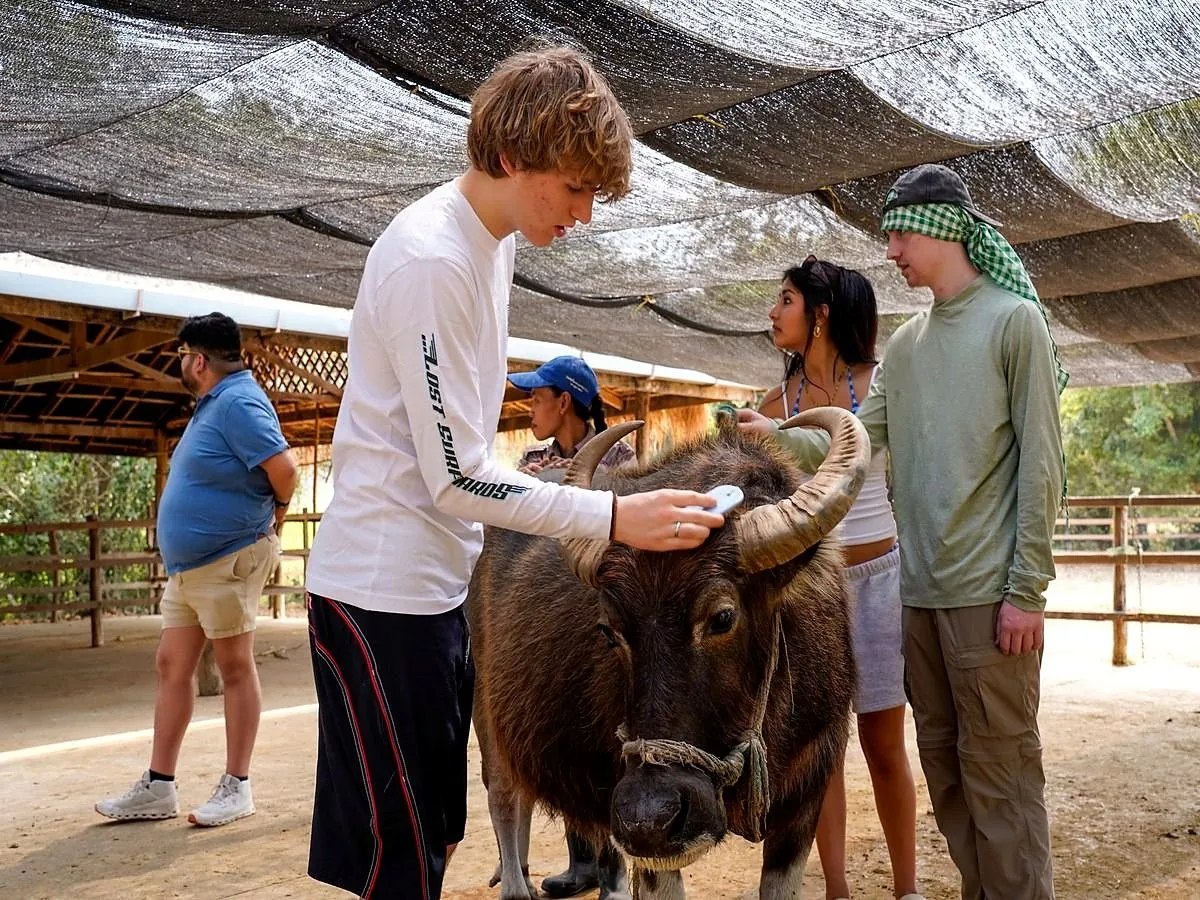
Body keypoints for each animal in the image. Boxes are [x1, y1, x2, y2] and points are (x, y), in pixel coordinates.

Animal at [468, 408, 869, 899]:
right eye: (609, 630)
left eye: (722, 617)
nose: (649, 817)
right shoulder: (645, 837)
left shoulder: (806, 798)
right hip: (486, 714)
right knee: (505, 797)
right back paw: (515, 883)